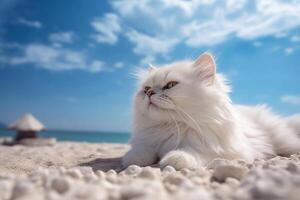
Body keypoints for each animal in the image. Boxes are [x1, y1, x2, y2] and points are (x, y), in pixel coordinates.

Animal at [122, 52, 300, 170]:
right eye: (146, 89)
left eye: (171, 85)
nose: (149, 93)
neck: (172, 126)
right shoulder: (147, 142)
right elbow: (140, 153)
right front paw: (131, 159)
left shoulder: (230, 152)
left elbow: (195, 151)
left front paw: (174, 158)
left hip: (283, 140)